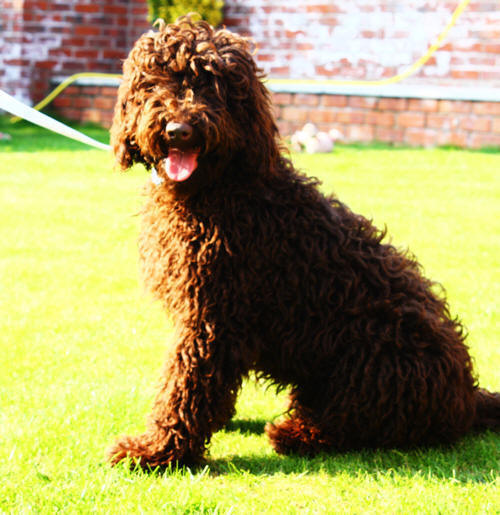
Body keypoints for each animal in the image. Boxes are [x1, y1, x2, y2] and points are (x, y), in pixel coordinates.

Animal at [107, 16, 498, 470]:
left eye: (213, 86)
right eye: (157, 82)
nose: (179, 130)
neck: (224, 188)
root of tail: (467, 396)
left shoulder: (213, 316)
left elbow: (186, 385)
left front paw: (156, 451)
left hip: (377, 356)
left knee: (359, 424)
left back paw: (299, 433)